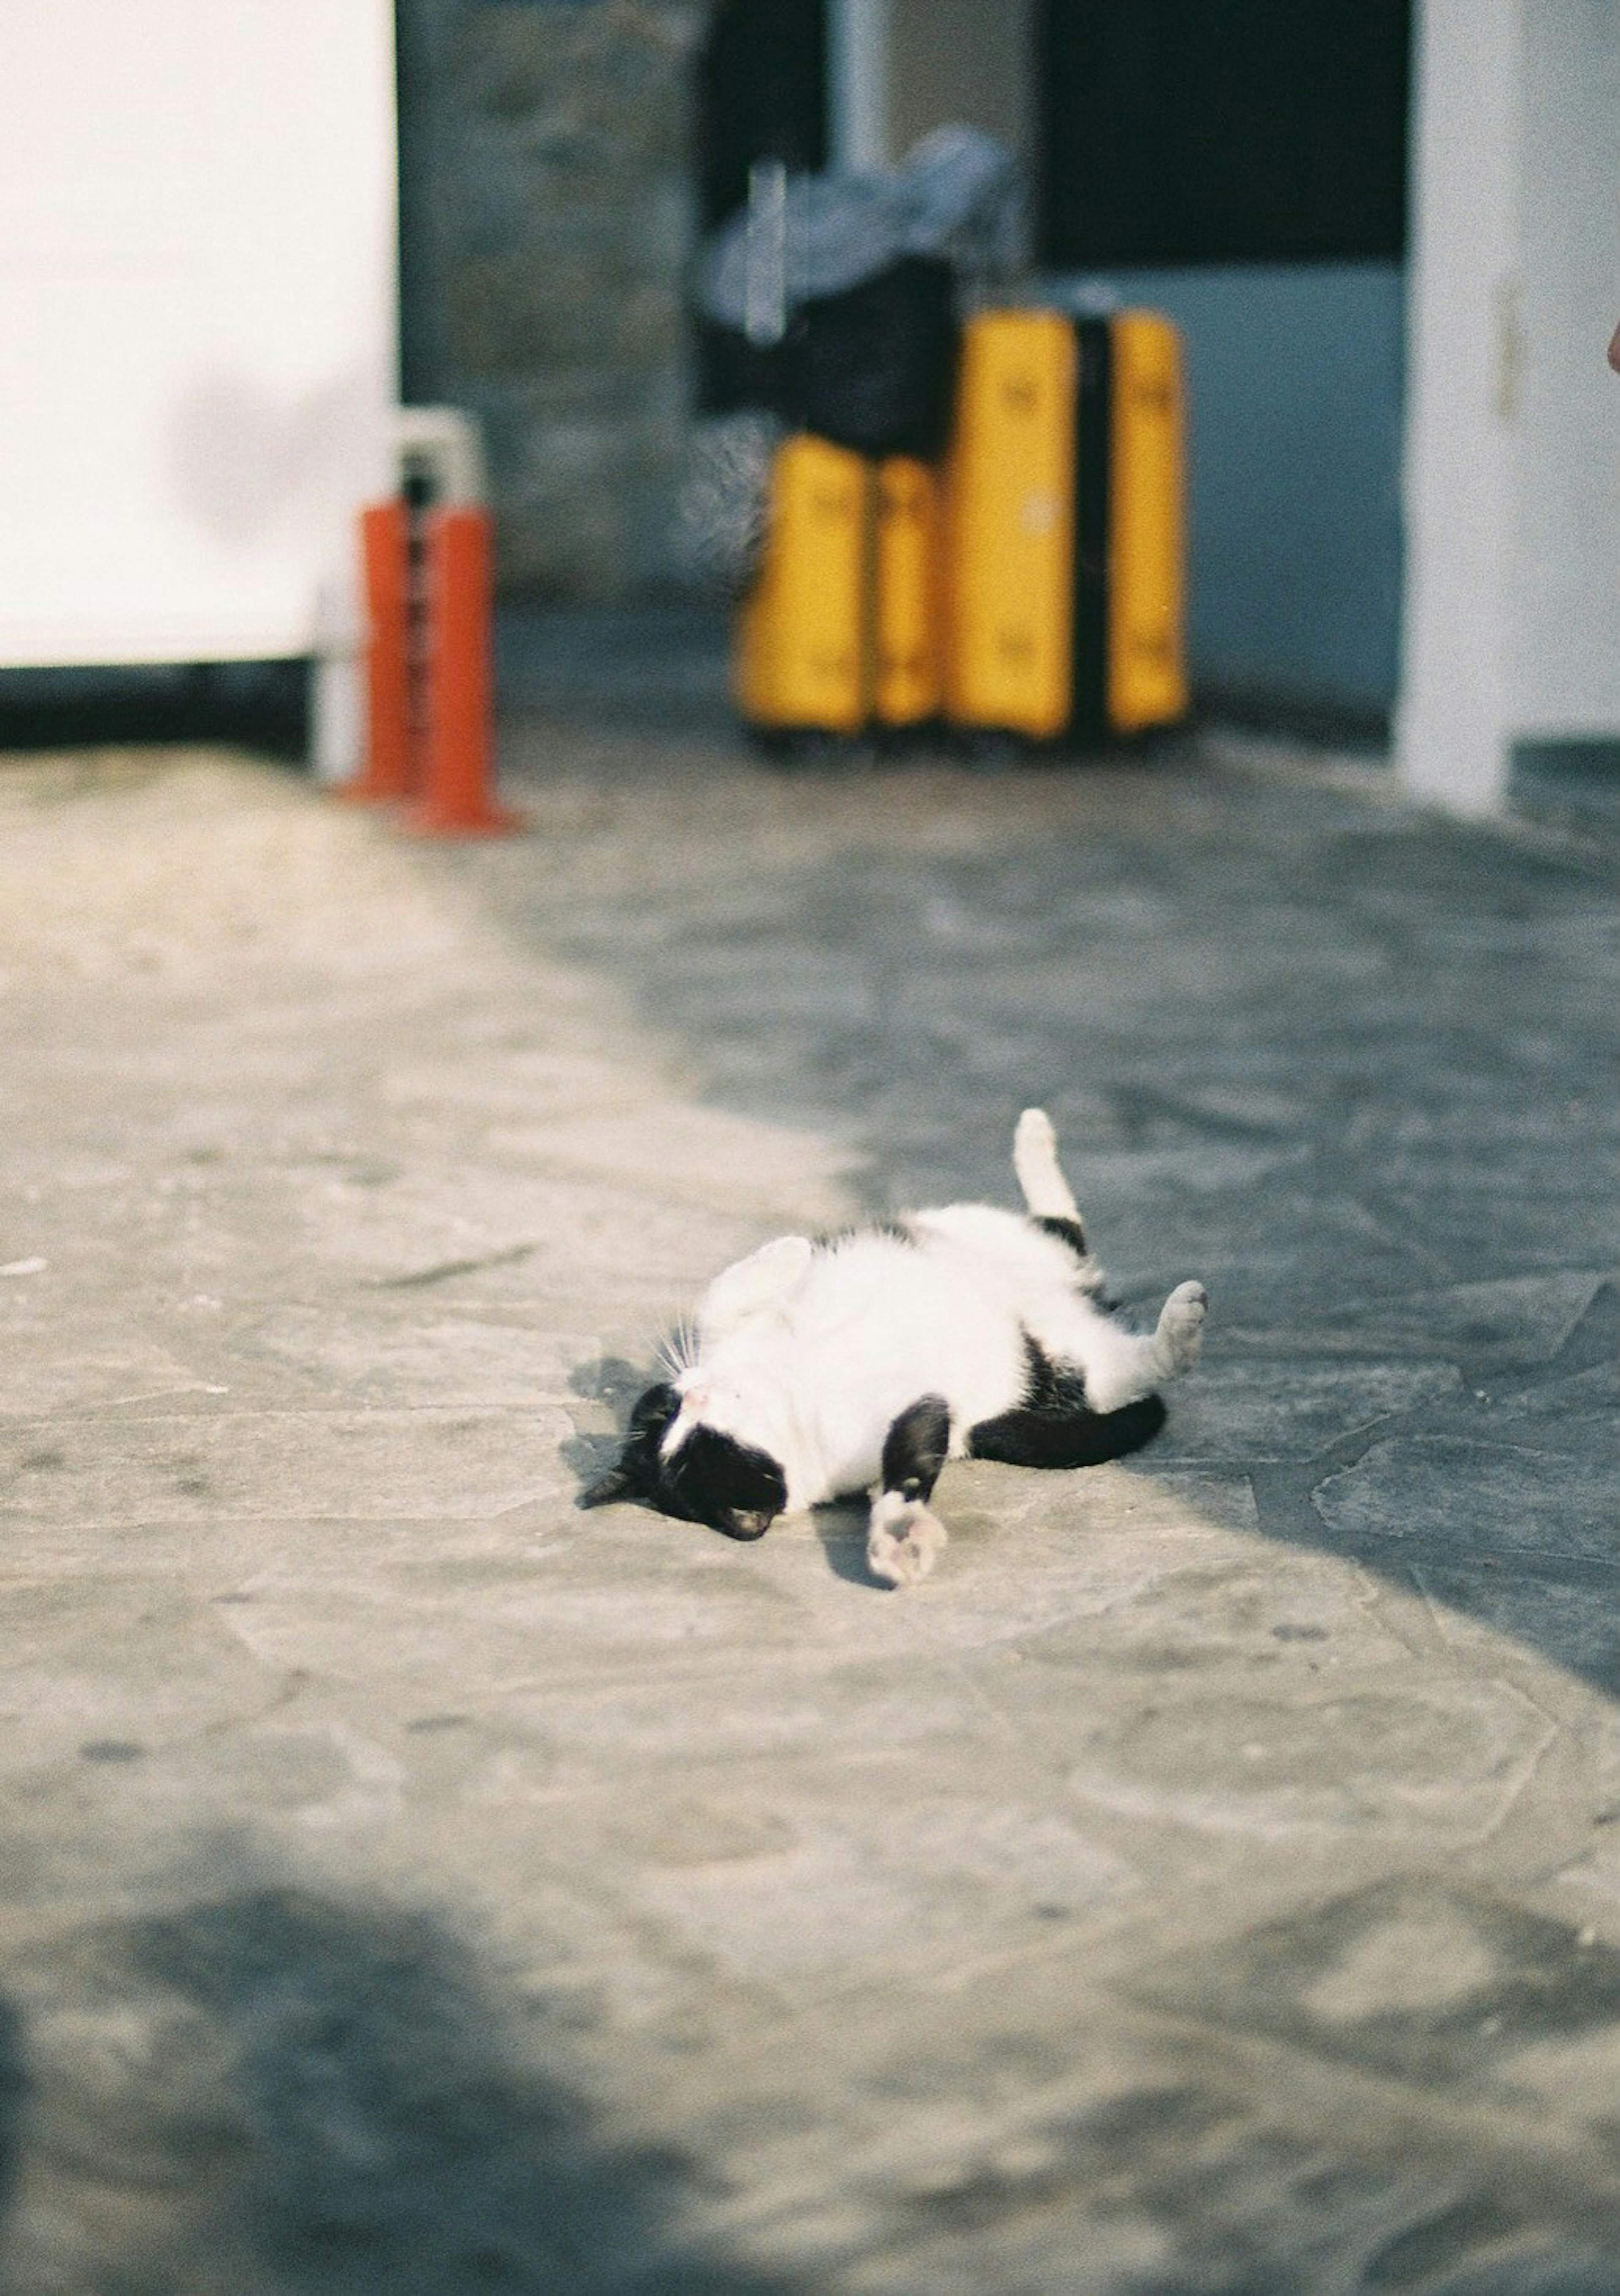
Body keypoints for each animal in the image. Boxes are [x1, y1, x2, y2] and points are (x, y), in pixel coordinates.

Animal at [579, 1106, 1204, 1579]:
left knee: (1060, 1225)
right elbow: (907, 1466)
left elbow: (720, 1293)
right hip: (1072, 1363)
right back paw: (1181, 1325)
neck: (789, 1386)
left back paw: (1033, 1136)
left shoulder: (732, 1329)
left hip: (991, 1232)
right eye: (698, 1447)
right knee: (1129, 1363)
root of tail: (1085, 1294)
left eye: (665, 1414)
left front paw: (788, 1251)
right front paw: (899, 1535)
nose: (693, 1395)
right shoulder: (912, 1411)